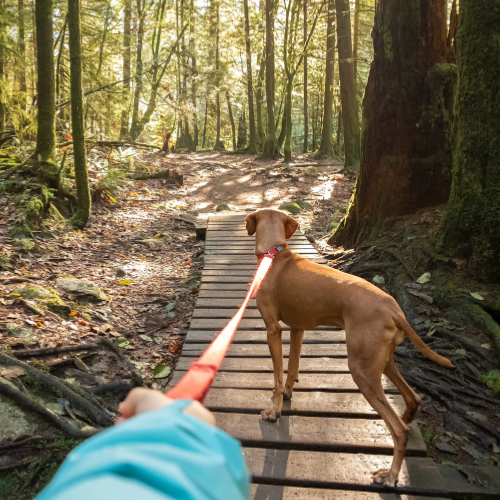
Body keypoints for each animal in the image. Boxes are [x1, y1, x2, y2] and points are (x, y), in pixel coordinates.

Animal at [246, 209, 454, 486]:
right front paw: (288, 394)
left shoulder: (273, 330)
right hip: (382, 362)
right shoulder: (298, 328)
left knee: (400, 430)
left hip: (361, 371)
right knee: (413, 398)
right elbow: (292, 369)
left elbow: (278, 377)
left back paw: (390, 474)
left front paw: (274, 411)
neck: (276, 254)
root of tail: (393, 309)